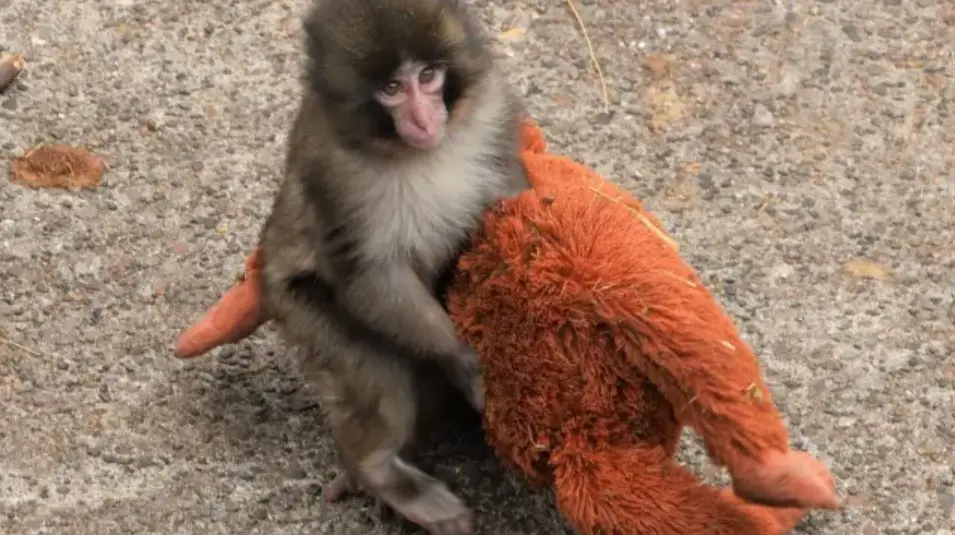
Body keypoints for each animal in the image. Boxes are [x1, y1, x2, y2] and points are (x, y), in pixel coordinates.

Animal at [257, 0, 530, 533]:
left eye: (427, 76)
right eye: (391, 89)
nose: (424, 119)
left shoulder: (492, 111)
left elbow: (512, 198)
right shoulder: (334, 171)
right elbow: (368, 276)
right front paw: (464, 359)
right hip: (298, 307)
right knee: (381, 376)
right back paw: (378, 471)